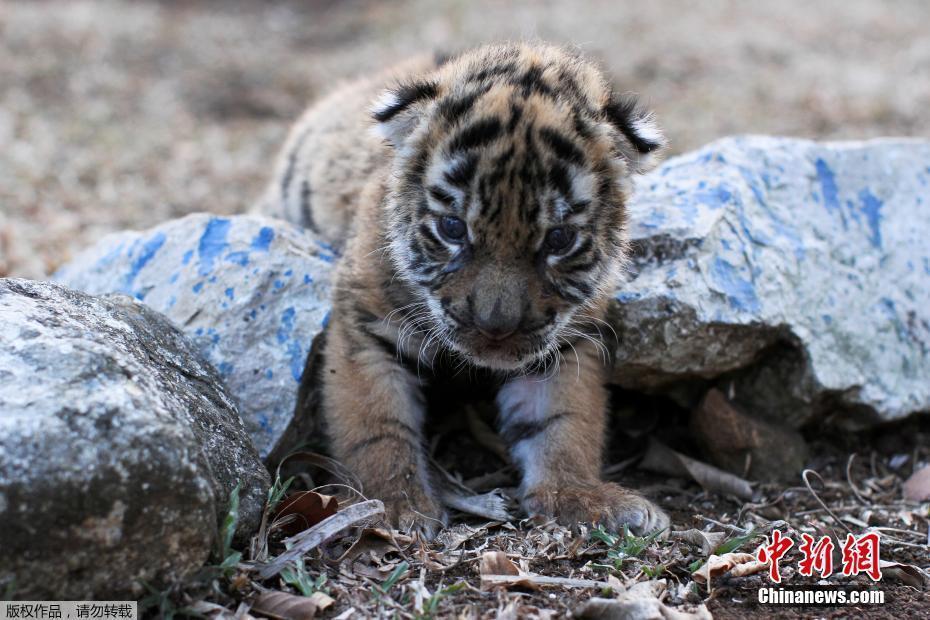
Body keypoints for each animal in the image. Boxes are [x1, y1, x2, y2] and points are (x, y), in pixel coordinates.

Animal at [258, 43, 672, 536]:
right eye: (453, 229)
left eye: (558, 239)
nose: (494, 326)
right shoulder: (364, 321)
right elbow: (374, 421)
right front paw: (389, 505)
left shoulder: (564, 344)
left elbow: (565, 422)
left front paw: (579, 495)